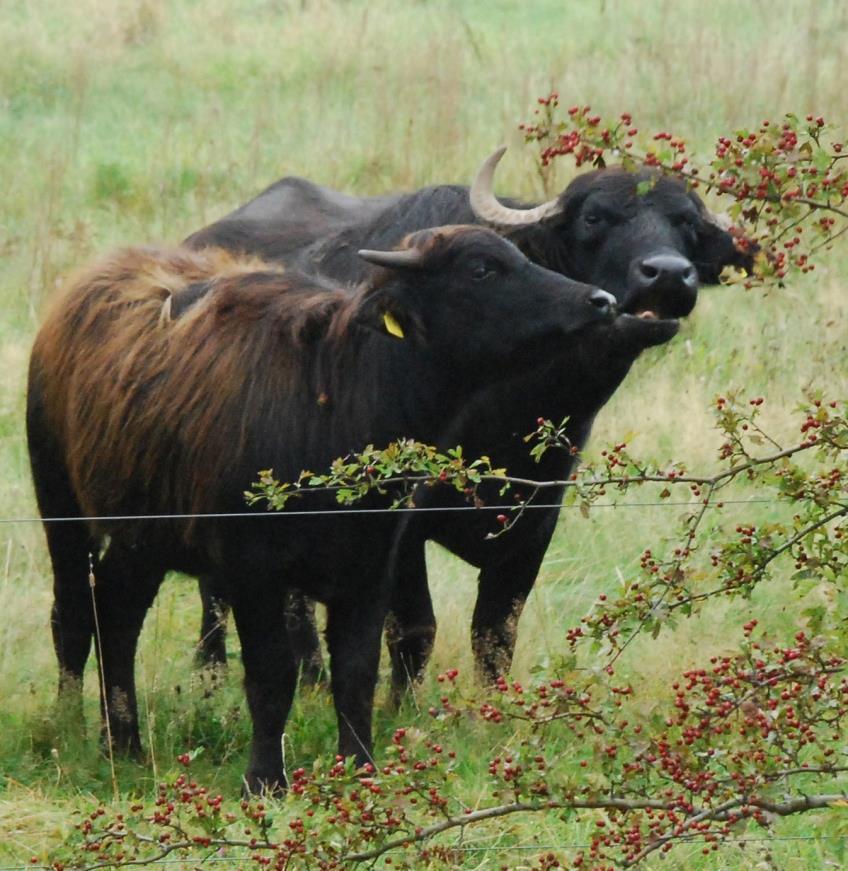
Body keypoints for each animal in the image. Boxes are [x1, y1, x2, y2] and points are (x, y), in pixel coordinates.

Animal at [28, 227, 628, 796]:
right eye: (481, 268)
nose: (601, 300)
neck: (340, 402)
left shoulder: (372, 565)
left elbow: (357, 673)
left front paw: (360, 769)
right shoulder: (253, 571)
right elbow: (273, 673)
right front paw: (264, 780)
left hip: (142, 539)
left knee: (117, 613)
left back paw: (123, 742)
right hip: (61, 509)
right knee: (73, 615)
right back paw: (71, 727)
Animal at [184, 148, 748, 696]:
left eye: (687, 224)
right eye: (595, 217)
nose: (669, 273)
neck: (510, 406)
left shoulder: (535, 520)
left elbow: (495, 632)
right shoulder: (401, 524)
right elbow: (415, 630)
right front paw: (402, 708)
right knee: (219, 591)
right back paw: (217, 673)